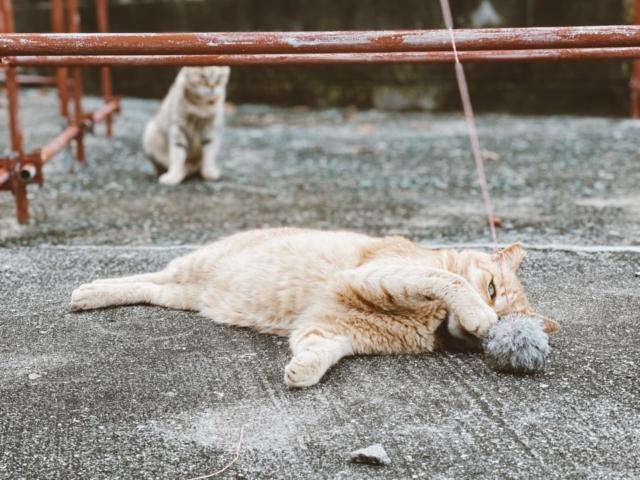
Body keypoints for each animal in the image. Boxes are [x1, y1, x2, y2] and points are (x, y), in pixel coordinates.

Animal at [71, 227, 560, 388]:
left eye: (511, 322)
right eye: (492, 290)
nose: (494, 324)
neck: (433, 323)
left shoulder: (333, 331)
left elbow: (319, 351)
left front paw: (302, 372)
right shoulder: (379, 275)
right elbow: (448, 279)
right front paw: (474, 311)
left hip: (182, 294)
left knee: (150, 287)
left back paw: (92, 293)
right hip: (193, 266)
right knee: (149, 273)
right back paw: (87, 291)